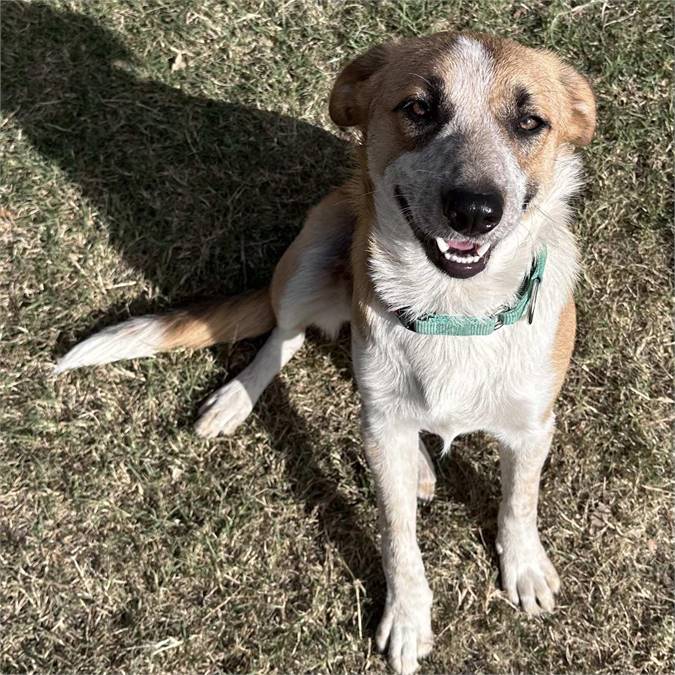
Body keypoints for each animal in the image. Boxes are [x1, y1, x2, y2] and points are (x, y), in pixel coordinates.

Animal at [58, 31, 596, 675]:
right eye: (419, 108)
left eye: (530, 122)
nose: (474, 210)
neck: (455, 312)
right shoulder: (383, 427)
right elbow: (396, 536)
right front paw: (407, 618)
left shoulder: (533, 425)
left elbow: (519, 500)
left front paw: (524, 567)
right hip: (313, 253)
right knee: (285, 337)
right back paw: (239, 400)